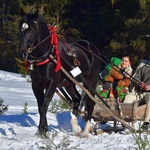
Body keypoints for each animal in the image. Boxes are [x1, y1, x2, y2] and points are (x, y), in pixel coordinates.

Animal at [18, 9, 101, 137]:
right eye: (21, 29)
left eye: (31, 30)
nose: (22, 53)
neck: (48, 55)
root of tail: (92, 48)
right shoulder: (36, 84)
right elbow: (40, 106)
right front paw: (42, 129)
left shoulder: (52, 82)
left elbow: (44, 105)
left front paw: (42, 130)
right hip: (69, 83)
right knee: (76, 99)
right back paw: (75, 127)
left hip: (91, 82)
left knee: (90, 104)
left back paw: (85, 130)